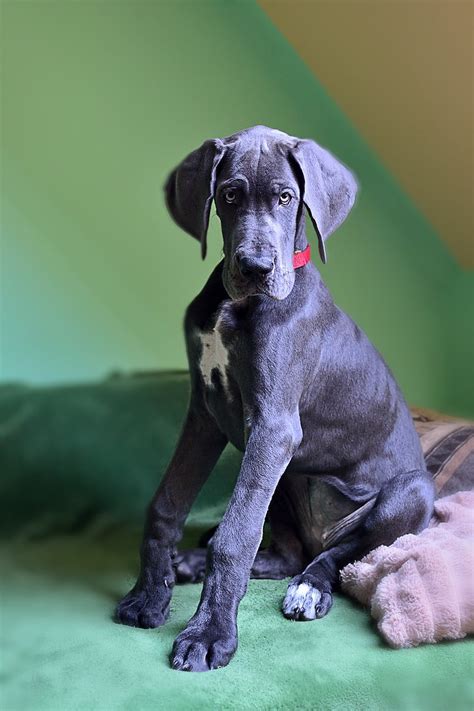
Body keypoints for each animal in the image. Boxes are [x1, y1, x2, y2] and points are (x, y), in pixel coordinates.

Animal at [116, 124, 436, 672]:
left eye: (287, 198)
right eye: (229, 195)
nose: (256, 267)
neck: (236, 306)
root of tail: (319, 535)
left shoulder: (274, 425)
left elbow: (235, 535)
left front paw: (208, 634)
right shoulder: (204, 412)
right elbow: (167, 504)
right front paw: (148, 597)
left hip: (412, 491)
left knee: (343, 556)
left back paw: (310, 587)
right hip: (287, 480)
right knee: (286, 553)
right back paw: (193, 562)